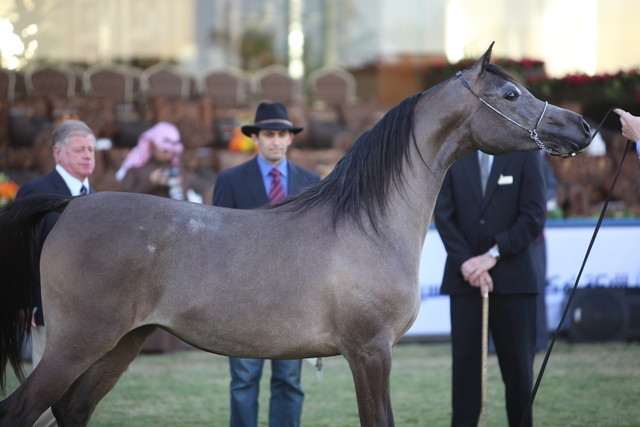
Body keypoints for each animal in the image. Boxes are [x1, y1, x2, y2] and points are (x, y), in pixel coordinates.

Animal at [0, 43, 590, 426]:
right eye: (511, 93)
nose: (581, 127)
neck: (369, 223)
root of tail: (72, 205)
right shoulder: (370, 352)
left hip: (122, 342)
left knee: (71, 410)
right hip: (77, 344)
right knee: (22, 410)